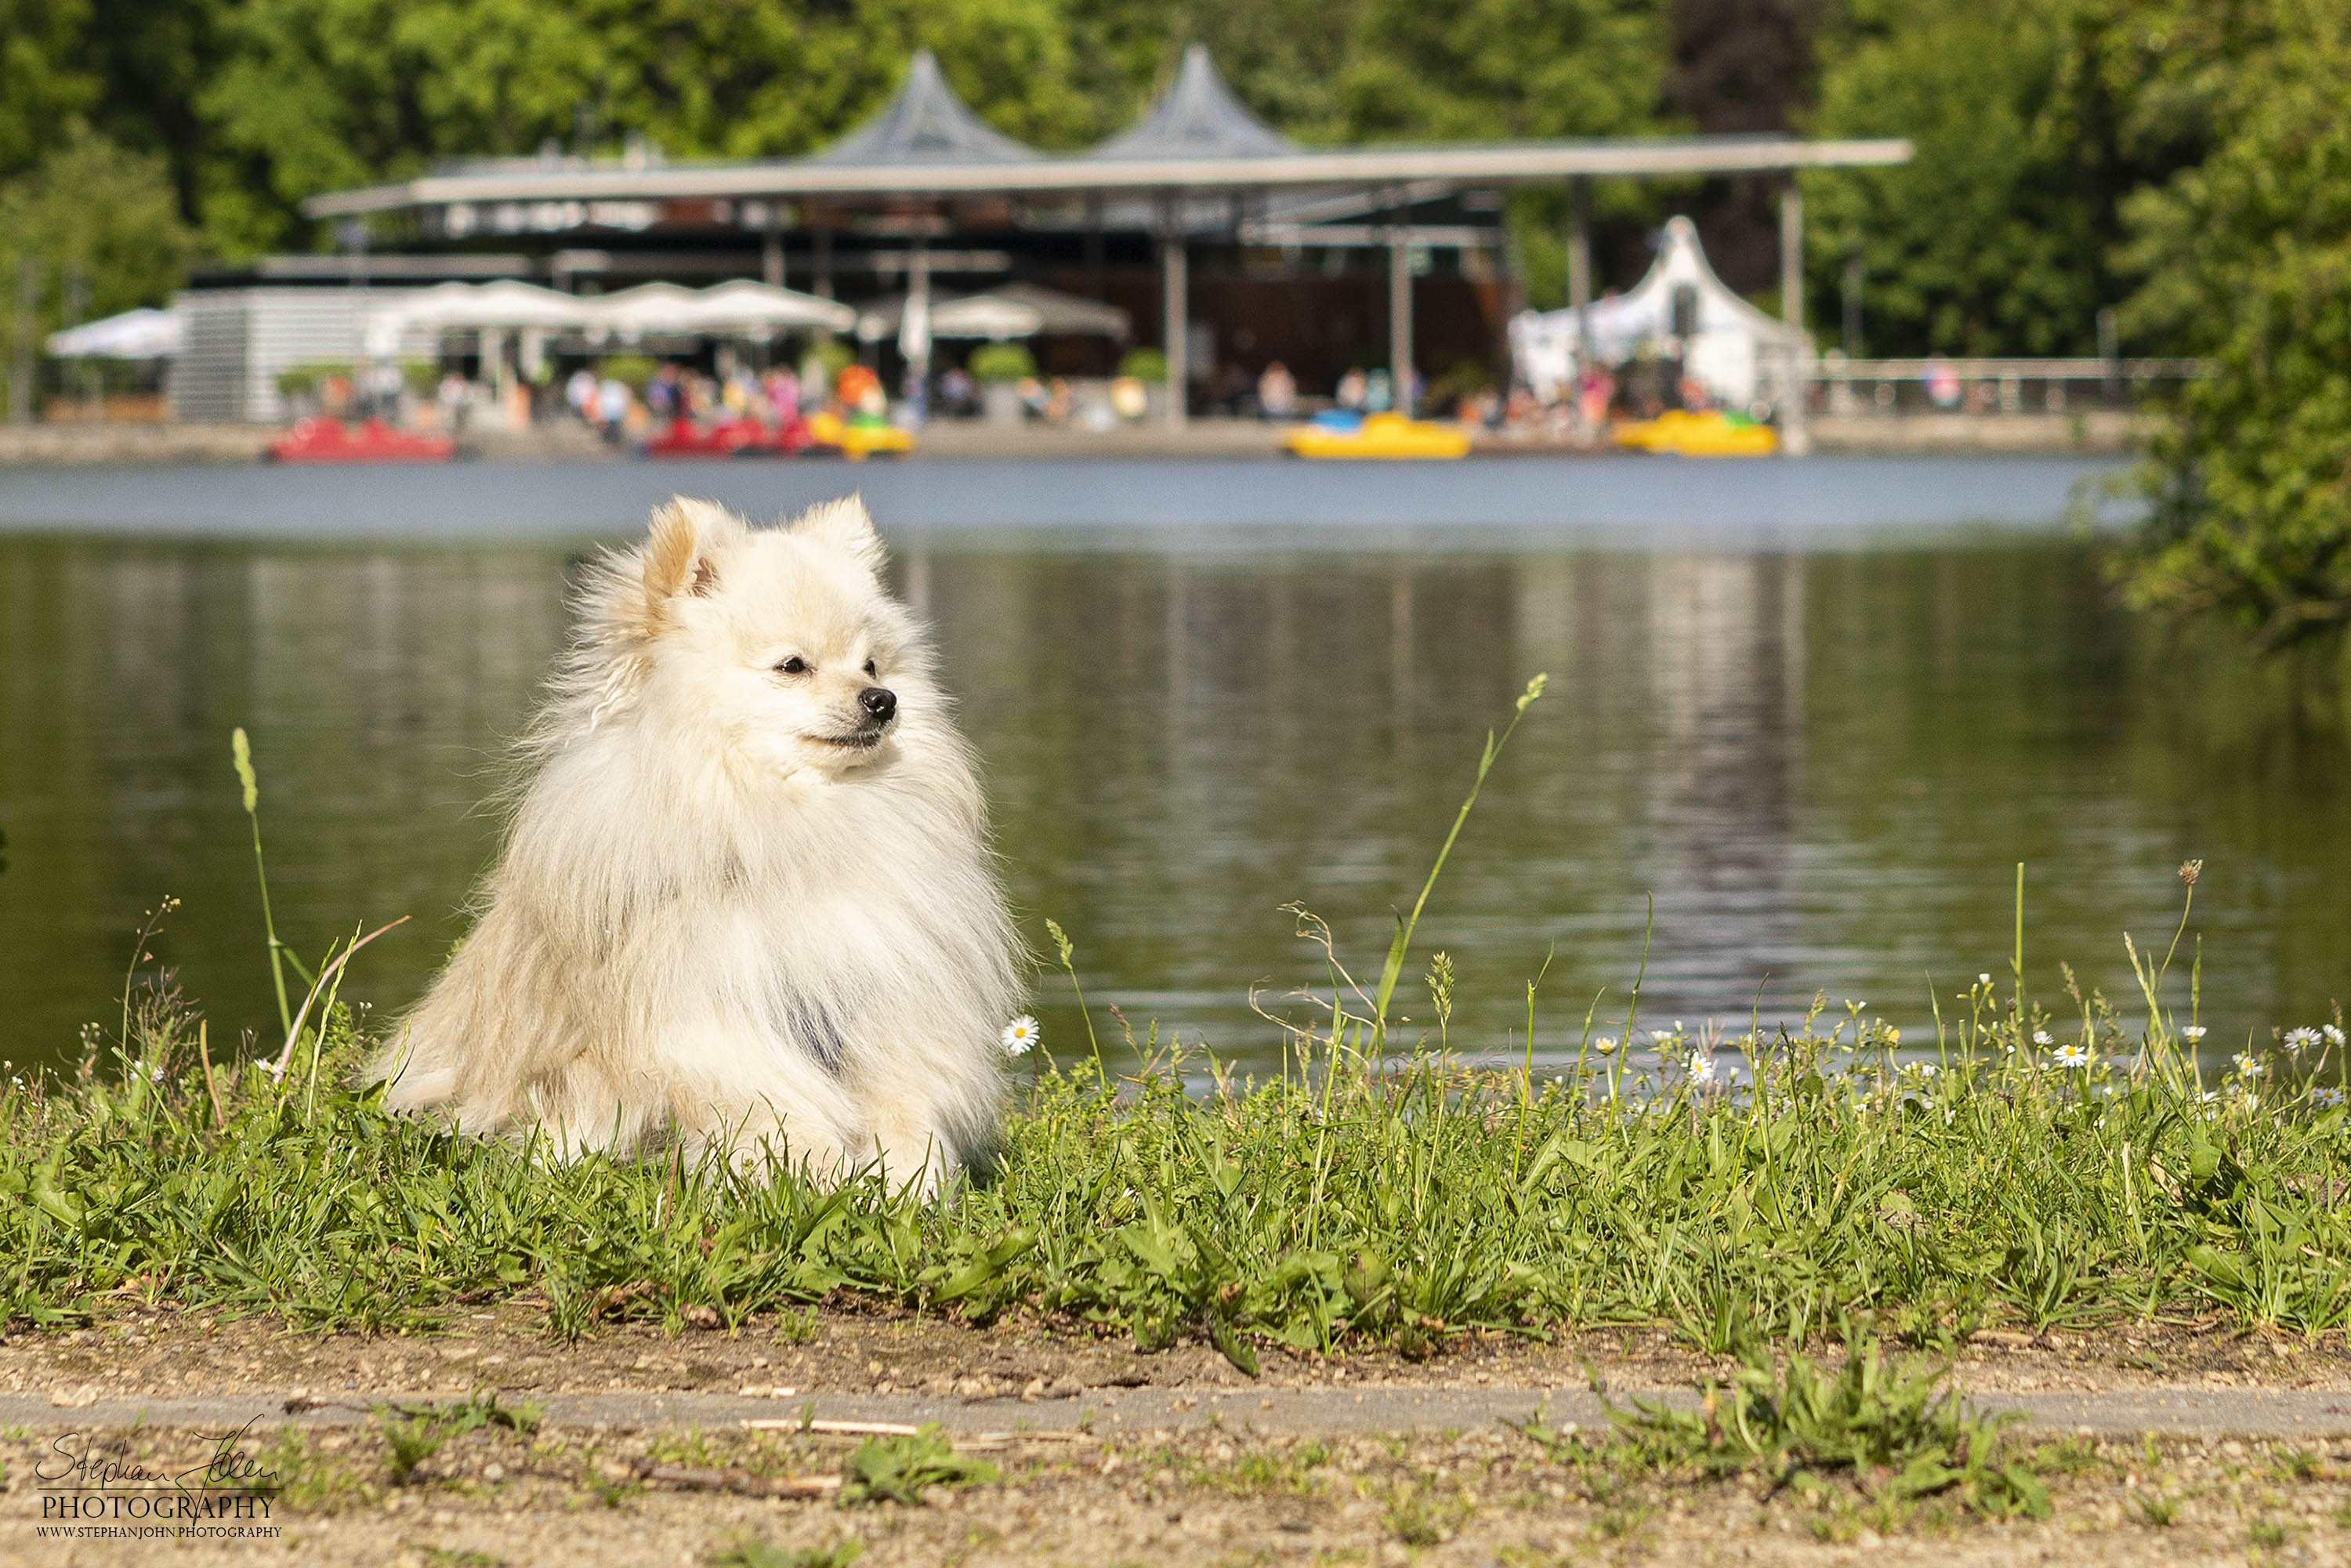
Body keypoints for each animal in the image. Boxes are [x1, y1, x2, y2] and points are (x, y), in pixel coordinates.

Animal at [371, 496, 1016, 1194]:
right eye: (793, 666)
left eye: (871, 665)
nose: (883, 700)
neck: (796, 822)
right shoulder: (707, 1015)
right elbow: (778, 1107)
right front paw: (819, 1175)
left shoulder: (876, 1000)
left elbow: (901, 1101)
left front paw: (909, 1178)